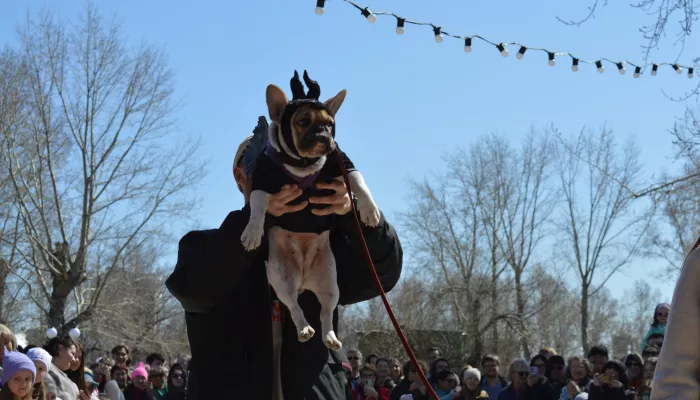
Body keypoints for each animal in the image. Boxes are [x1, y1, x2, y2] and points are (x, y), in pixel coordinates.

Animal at [242, 71, 382, 350]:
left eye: (330, 124)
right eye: (303, 121)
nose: (323, 135)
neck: (303, 164)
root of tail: (304, 281)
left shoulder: (344, 165)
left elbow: (361, 184)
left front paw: (370, 210)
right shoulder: (262, 180)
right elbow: (258, 205)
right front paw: (252, 232)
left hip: (330, 285)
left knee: (325, 313)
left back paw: (330, 337)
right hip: (281, 279)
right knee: (294, 307)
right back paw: (305, 329)